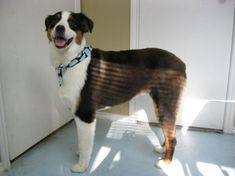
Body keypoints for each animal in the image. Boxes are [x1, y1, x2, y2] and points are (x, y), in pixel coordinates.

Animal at [45, 10, 186, 172]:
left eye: (72, 24)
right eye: (54, 22)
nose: (60, 28)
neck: (71, 62)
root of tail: (181, 63)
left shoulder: (85, 113)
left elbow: (85, 144)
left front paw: (82, 165)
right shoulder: (77, 112)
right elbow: (81, 140)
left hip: (165, 104)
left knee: (173, 138)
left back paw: (166, 162)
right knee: (169, 133)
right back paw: (162, 149)